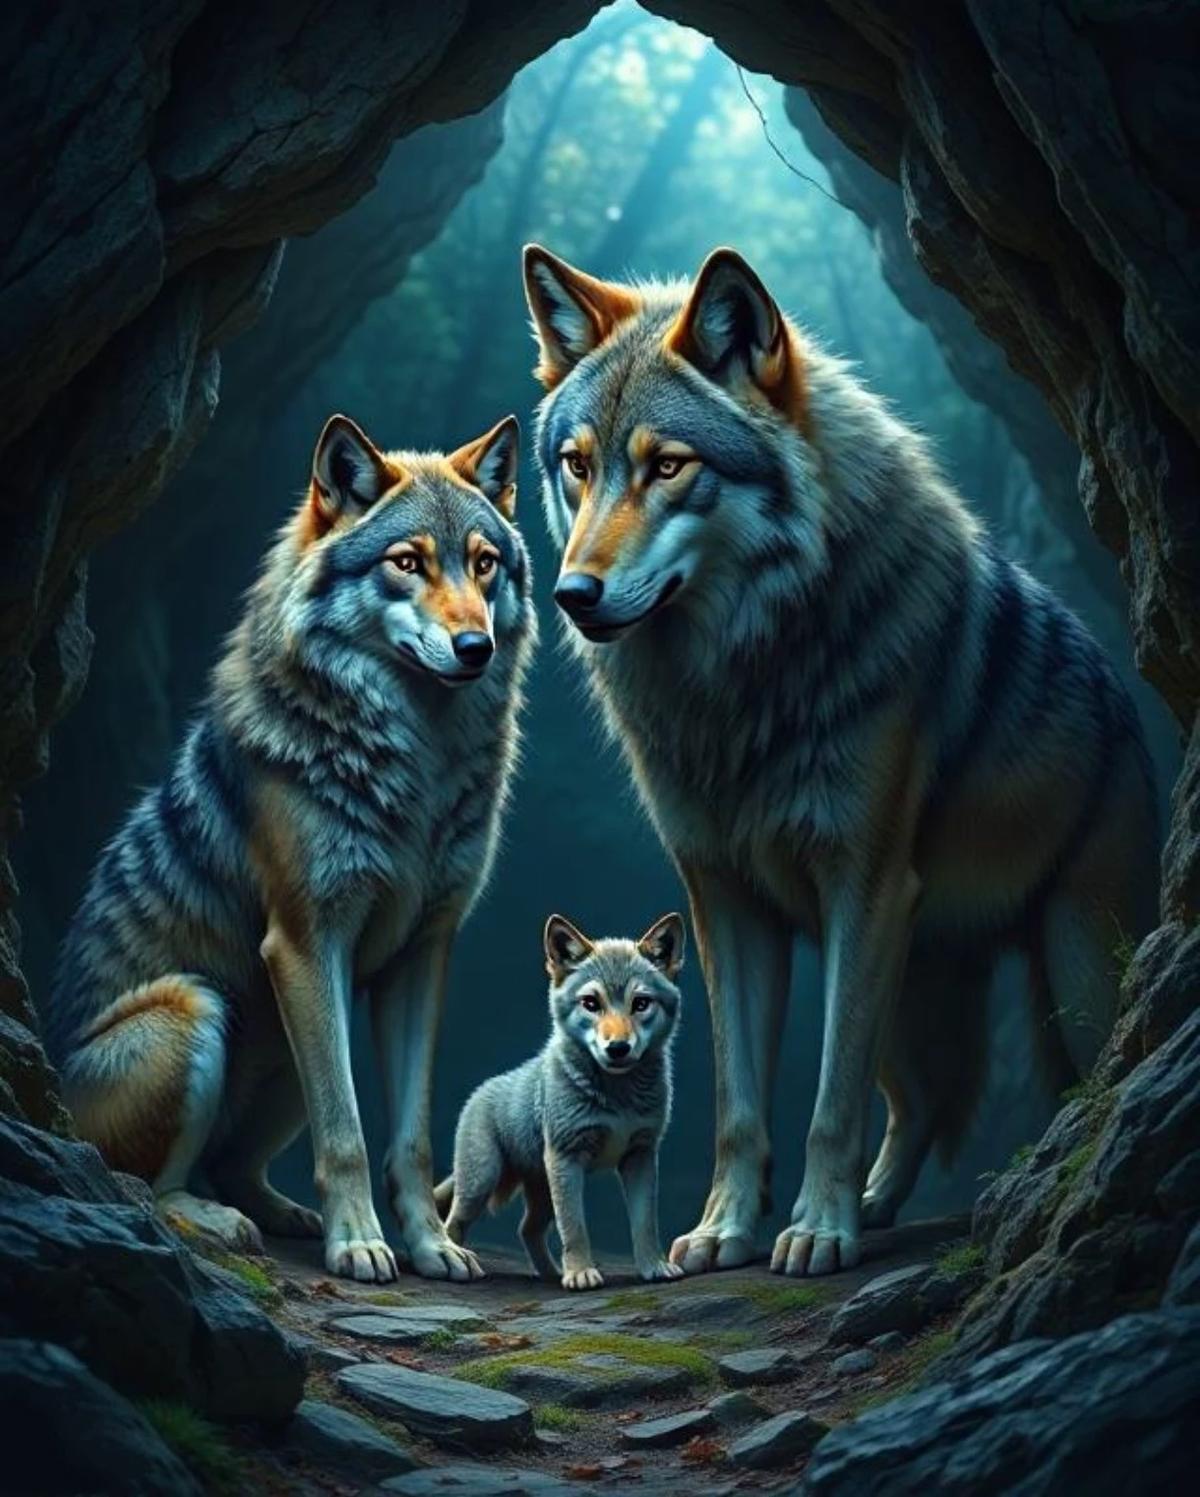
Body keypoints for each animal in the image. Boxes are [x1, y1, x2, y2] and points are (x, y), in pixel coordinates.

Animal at [48, 411, 535, 1283]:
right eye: (407, 562)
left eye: (484, 563)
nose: (474, 646)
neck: (420, 760)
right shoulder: (307, 942)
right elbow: (346, 1132)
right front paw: (363, 1245)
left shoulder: (422, 953)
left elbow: (409, 1136)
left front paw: (430, 1245)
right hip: (199, 1006)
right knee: (149, 1185)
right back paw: (220, 1221)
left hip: (279, 1038)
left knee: (233, 1164)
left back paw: (280, 1213)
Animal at [434, 913, 686, 1290]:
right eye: (591, 1003)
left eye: (640, 1003)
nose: (618, 1048)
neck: (618, 1097)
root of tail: (480, 1092)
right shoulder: (568, 1160)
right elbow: (575, 1228)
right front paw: (582, 1274)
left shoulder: (640, 1157)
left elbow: (645, 1224)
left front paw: (654, 1268)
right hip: (482, 1183)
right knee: (454, 1222)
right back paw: (461, 1263)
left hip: (541, 1189)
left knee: (526, 1229)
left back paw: (551, 1274)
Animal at [521, 242, 1159, 1279]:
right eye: (578, 466)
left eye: (668, 466)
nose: (574, 594)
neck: (737, 682)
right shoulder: (725, 899)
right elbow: (741, 1101)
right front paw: (727, 1230)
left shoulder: (864, 886)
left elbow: (829, 1101)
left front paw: (816, 1230)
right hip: (914, 983)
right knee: (925, 1100)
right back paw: (879, 1205)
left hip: (1069, 975)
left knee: (1041, 1071)